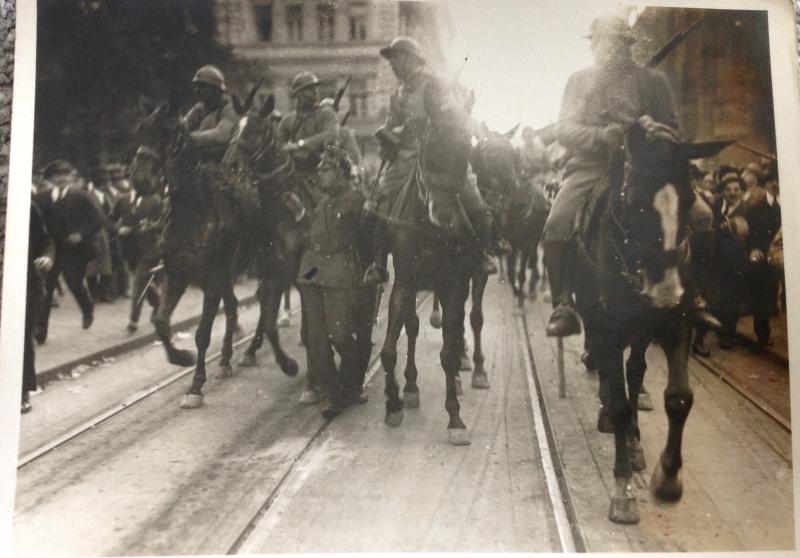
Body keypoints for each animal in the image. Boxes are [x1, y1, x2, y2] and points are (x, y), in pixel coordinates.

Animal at [572, 120, 736, 528]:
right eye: (634, 200)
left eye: (691, 201)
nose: (666, 291)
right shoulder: (609, 328)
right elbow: (617, 403)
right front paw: (623, 490)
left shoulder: (676, 325)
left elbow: (677, 397)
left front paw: (668, 479)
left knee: (635, 370)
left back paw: (633, 439)